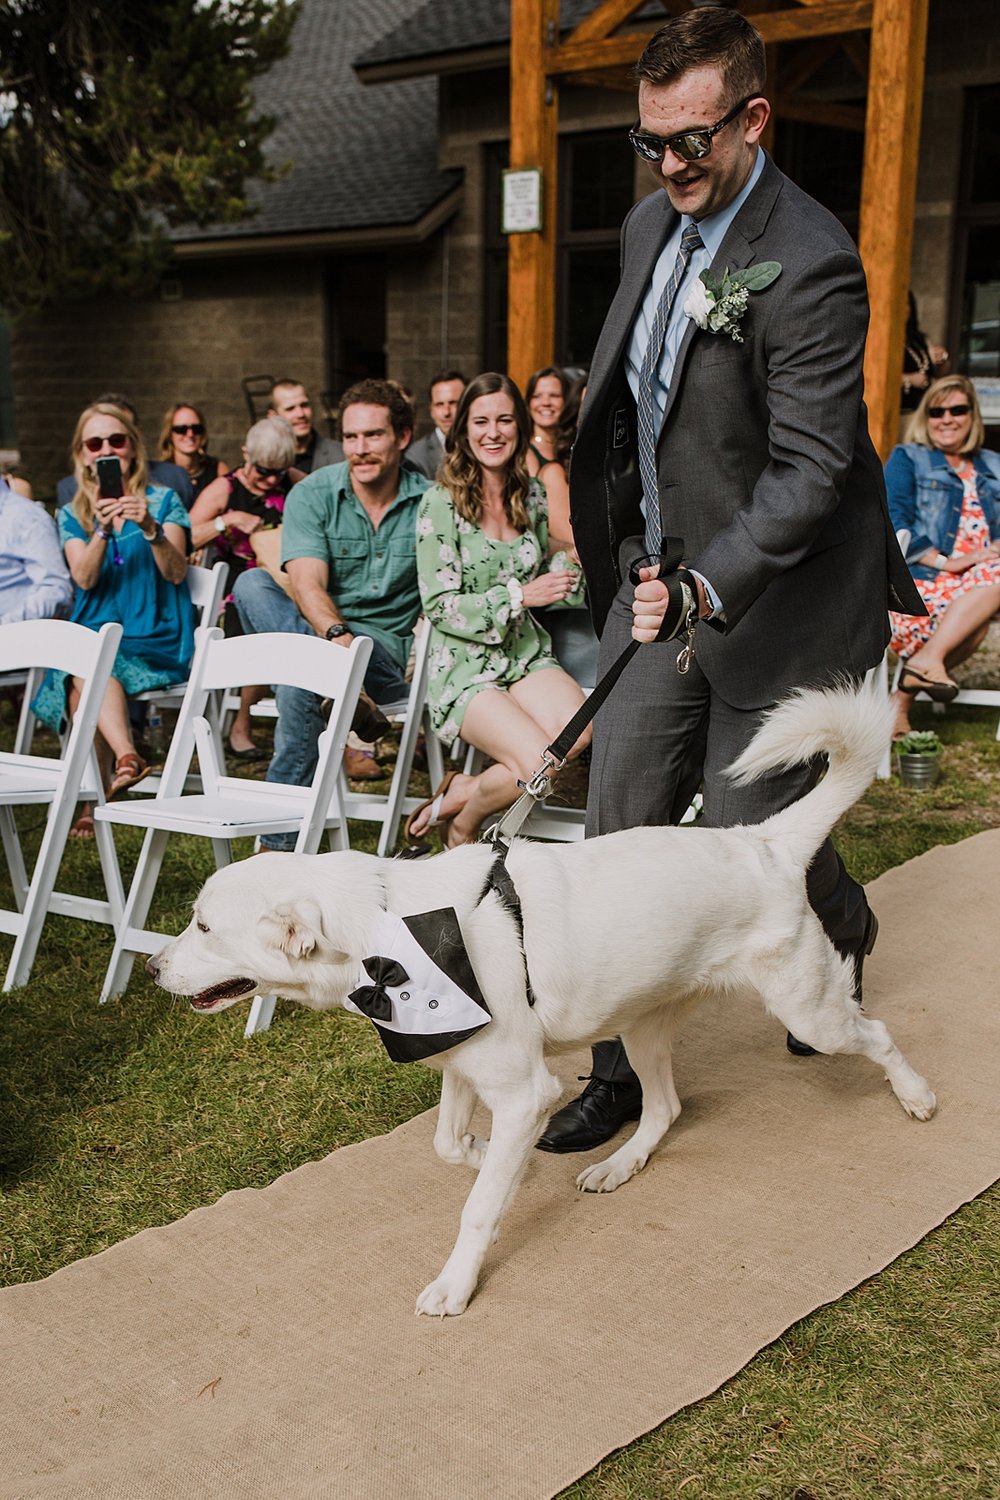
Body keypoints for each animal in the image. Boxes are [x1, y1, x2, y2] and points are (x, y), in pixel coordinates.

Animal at [150, 687, 941, 1320]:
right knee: (665, 1108)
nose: (154, 969)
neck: (391, 930)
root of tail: (763, 842)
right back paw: (620, 1165)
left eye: (204, 927)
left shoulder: (523, 1089)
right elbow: (449, 1147)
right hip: (642, 1026)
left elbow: (476, 1208)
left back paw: (917, 1096)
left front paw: (457, 1282)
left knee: (876, 1034)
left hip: (811, 1011)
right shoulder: (464, 1065)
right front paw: (506, 1165)